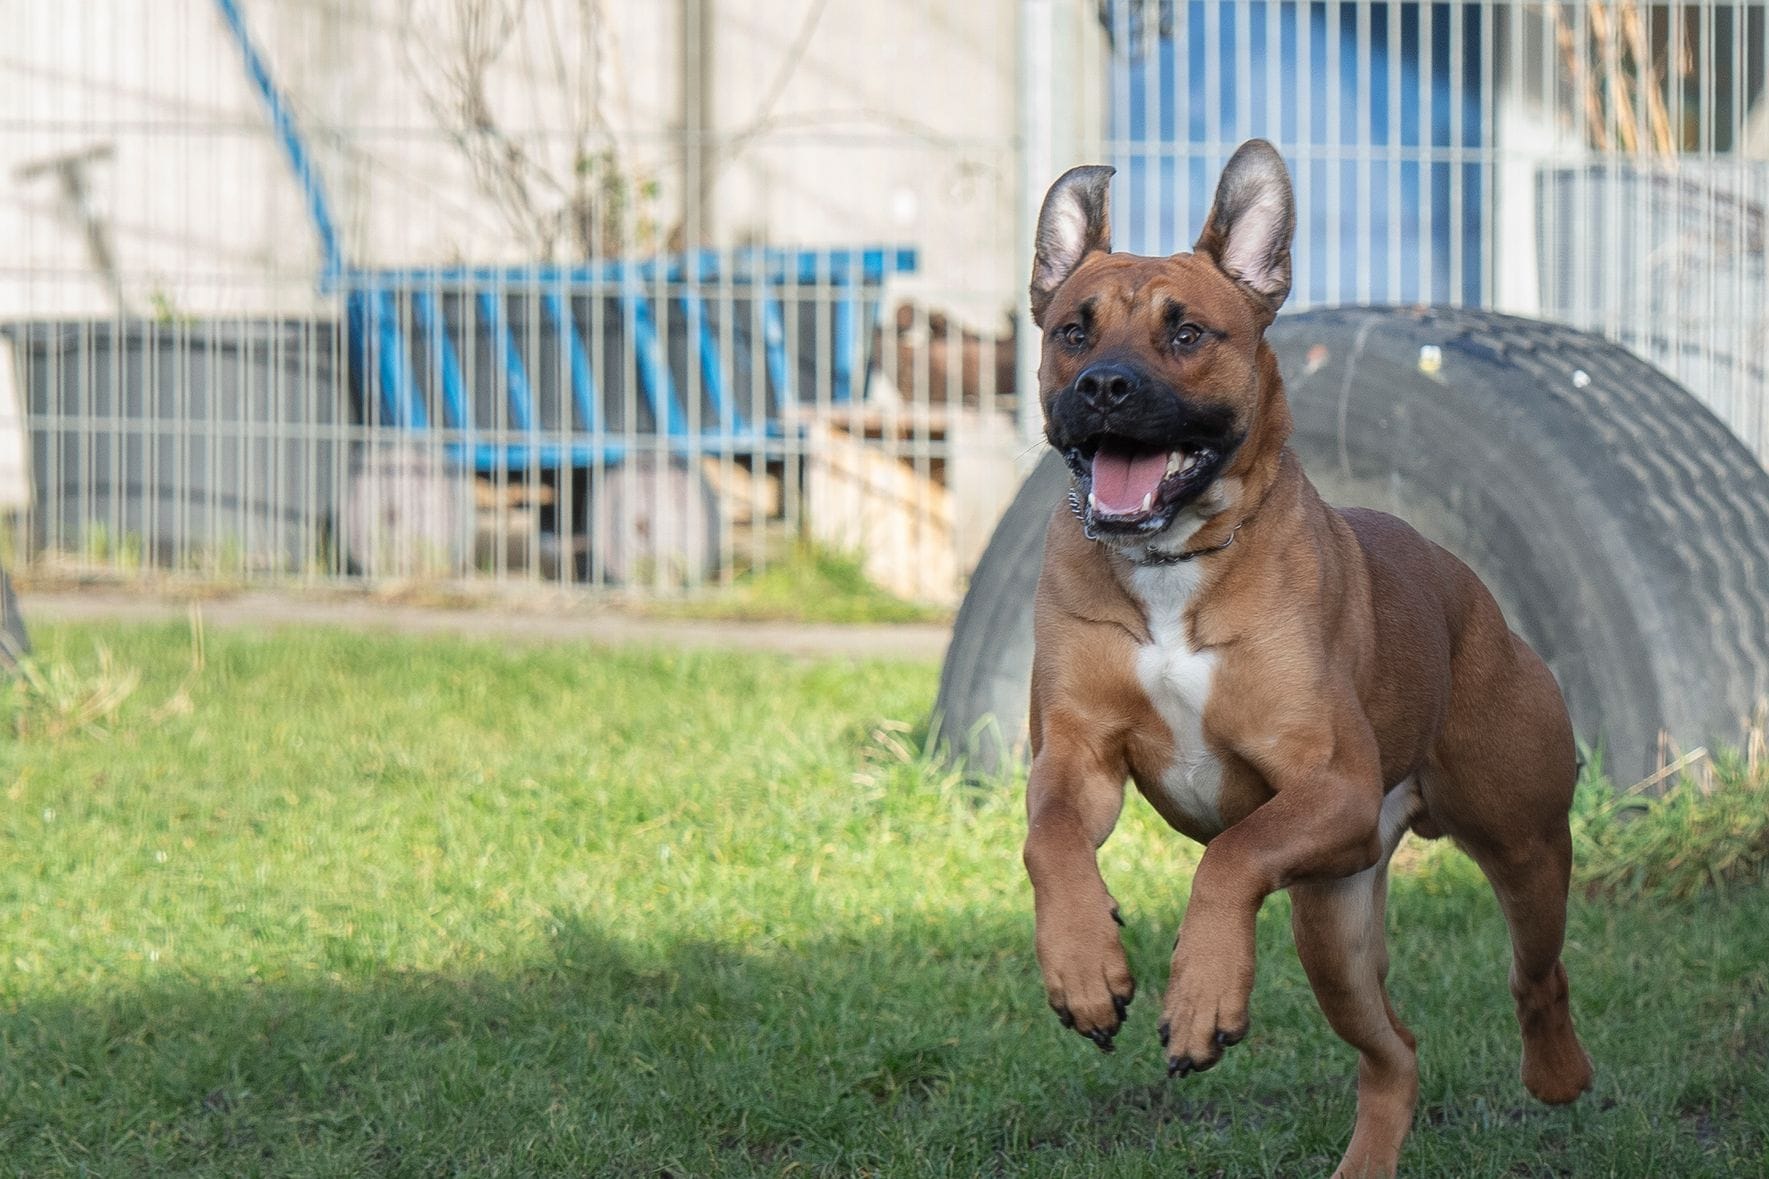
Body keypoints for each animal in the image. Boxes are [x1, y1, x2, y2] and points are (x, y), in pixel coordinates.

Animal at [1018, 139, 1599, 1175]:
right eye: (1072, 332)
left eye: (1186, 333)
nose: (1105, 386)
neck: (1175, 562)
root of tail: (1475, 597)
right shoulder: (1077, 758)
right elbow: (1049, 838)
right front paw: (1083, 965)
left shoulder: (1326, 783)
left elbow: (1232, 853)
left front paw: (1199, 996)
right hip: (1332, 921)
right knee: (1394, 1053)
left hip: (1522, 845)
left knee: (1536, 974)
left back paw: (1557, 1075)